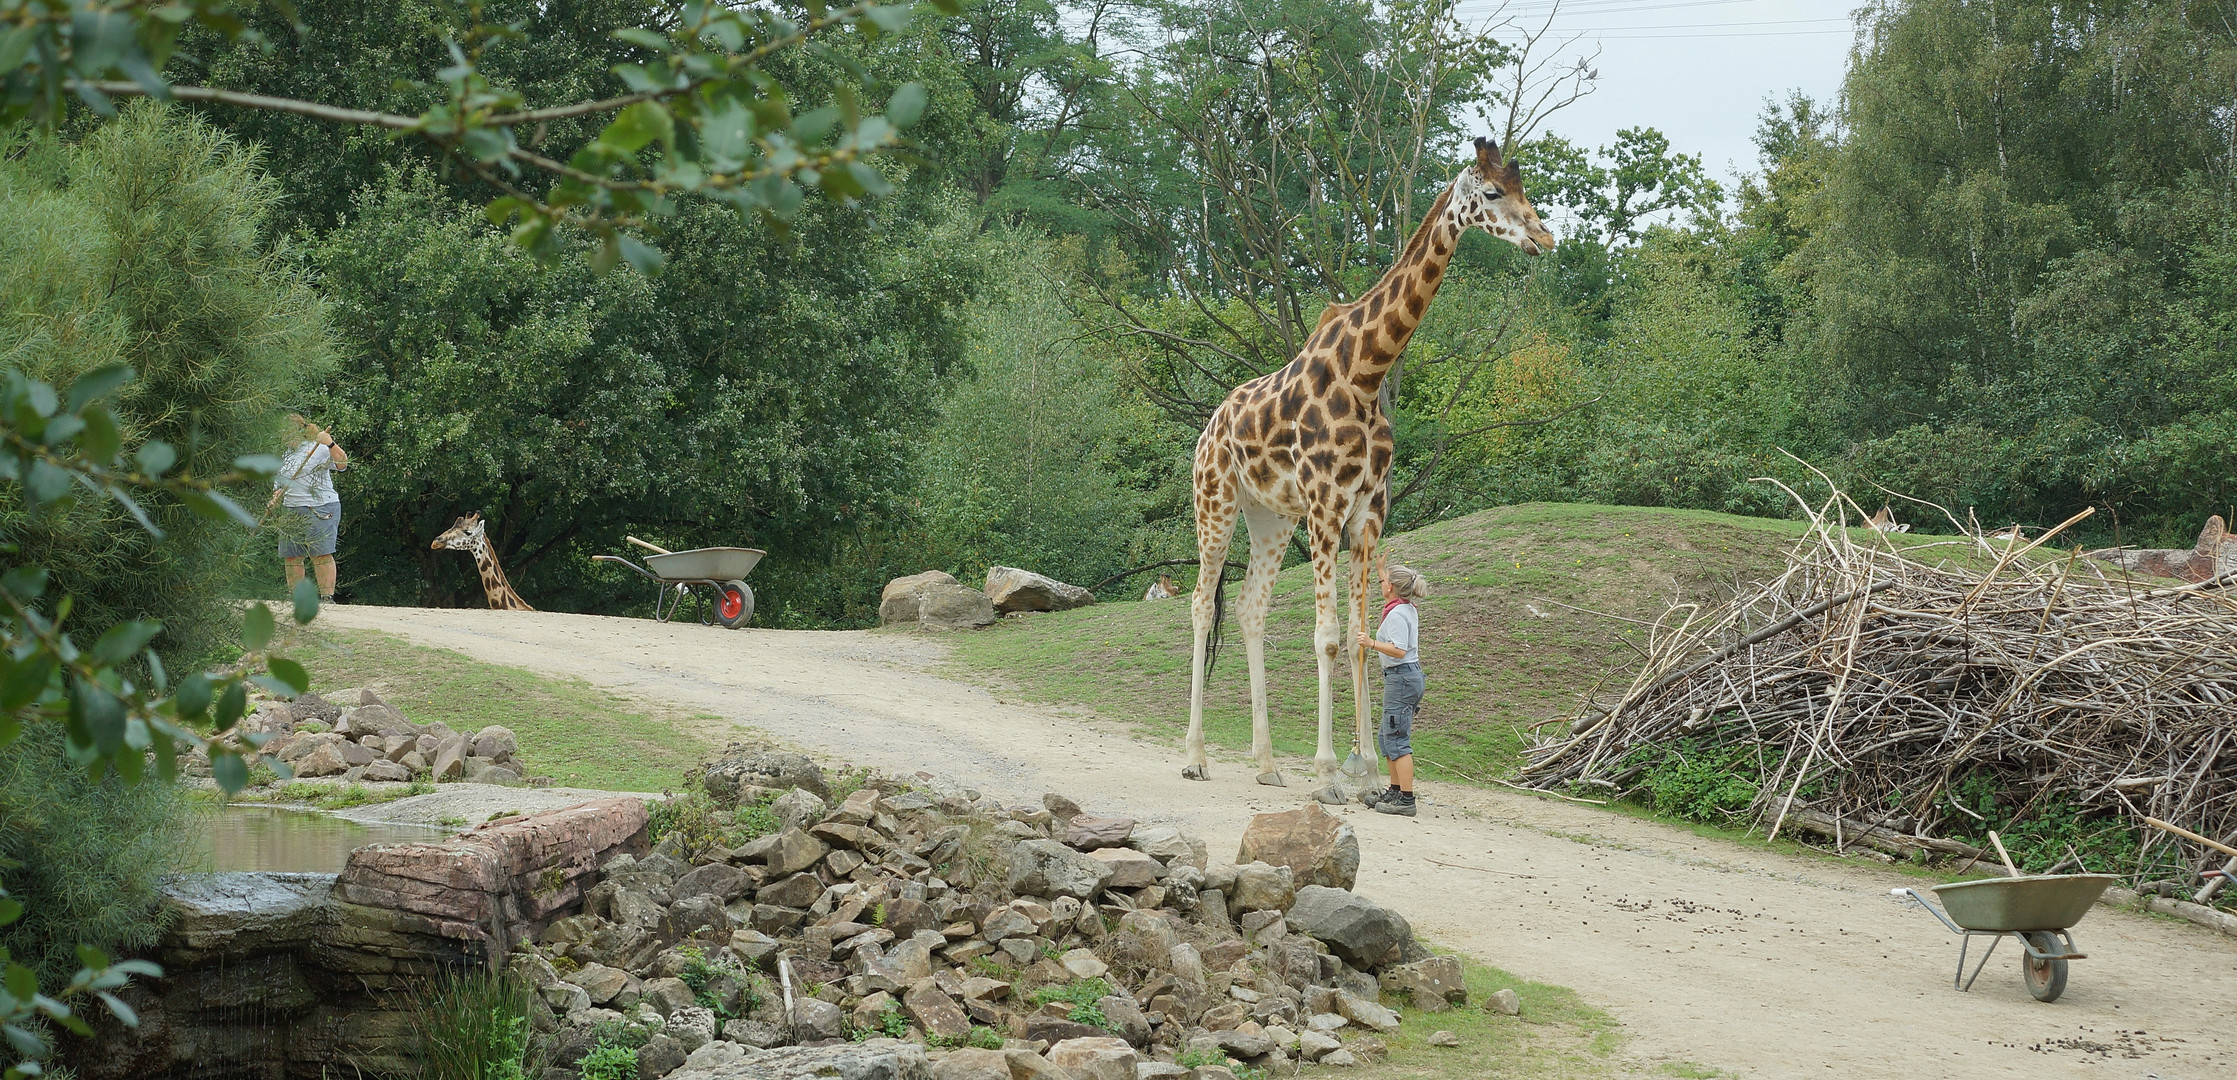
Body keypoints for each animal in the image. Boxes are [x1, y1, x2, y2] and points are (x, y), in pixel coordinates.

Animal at [1181, 135, 1548, 800]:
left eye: (1523, 189)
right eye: (1491, 193)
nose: (1543, 237)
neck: (1366, 371)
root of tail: (1208, 427)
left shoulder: (1368, 513)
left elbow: (1357, 636)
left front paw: (1369, 769)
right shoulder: (1326, 506)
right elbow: (1327, 637)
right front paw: (1328, 773)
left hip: (1270, 518)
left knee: (1248, 608)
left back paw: (1267, 764)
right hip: (1215, 500)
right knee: (1201, 602)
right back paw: (1195, 755)